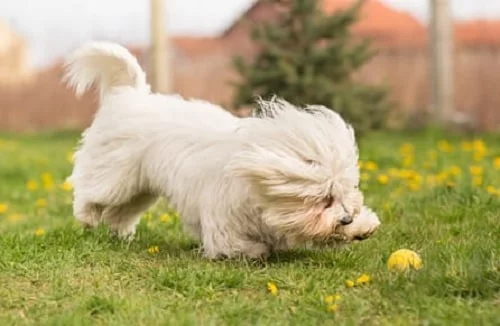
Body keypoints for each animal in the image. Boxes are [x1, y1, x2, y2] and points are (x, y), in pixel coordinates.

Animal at [63, 41, 378, 260]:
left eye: (347, 191)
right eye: (323, 198)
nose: (346, 218)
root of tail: (131, 95)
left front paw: (362, 226)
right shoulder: (224, 220)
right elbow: (234, 244)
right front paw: (257, 251)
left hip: (140, 188)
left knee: (120, 213)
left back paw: (121, 234)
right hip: (115, 175)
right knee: (91, 194)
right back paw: (87, 217)